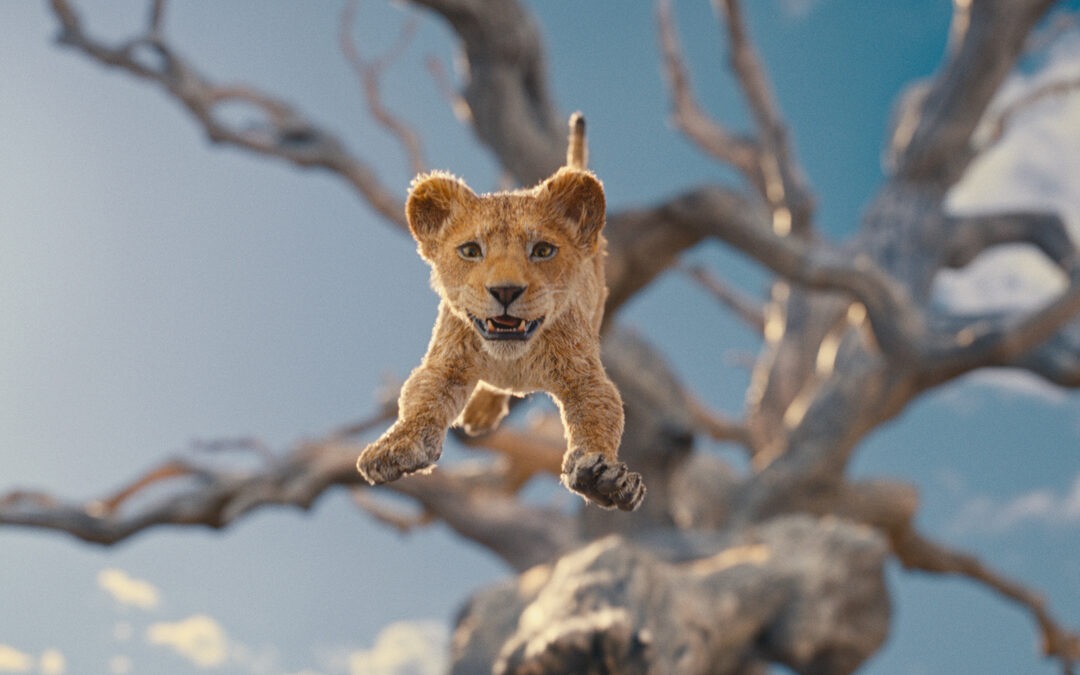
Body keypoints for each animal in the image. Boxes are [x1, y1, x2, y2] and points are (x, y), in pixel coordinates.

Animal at [356, 114, 645, 511]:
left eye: (542, 250)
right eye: (470, 251)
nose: (505, 291)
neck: (511, 358)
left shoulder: (583, 375)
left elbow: (600, 415)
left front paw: (603, 478)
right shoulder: (445, 362)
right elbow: (420, 400)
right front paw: (395, 447)